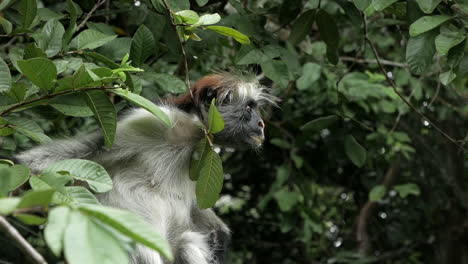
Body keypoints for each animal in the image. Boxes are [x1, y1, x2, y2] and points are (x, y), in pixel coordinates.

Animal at [14, 71, 278, 262]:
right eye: (248, 108)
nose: (262, 124)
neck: (191, 137)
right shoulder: (150, 120)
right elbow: (47, 160)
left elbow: (199, 210)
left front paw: (221, 238)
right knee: (146, 248)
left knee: (188, 243)